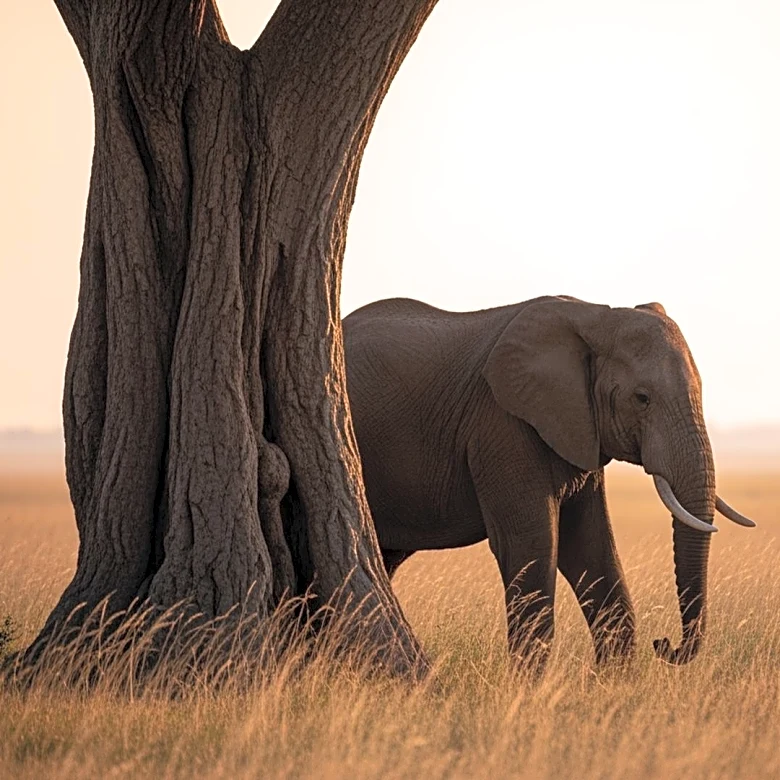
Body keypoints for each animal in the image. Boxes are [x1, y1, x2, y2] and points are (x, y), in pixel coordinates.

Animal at [343, 295, 755, 670]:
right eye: (642, 398)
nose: (665, 644)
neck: (595, 315)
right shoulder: (501, 425)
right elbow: (532, 544)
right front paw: (525, 690)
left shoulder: (580, 431)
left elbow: (590, 546)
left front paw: (612, 688)